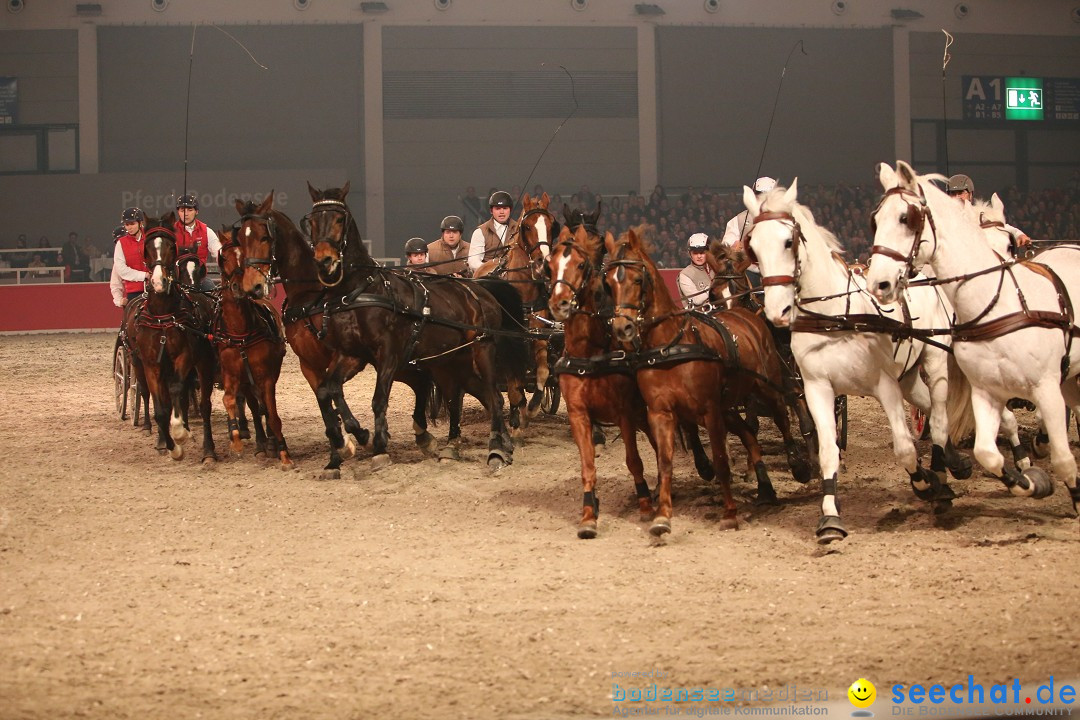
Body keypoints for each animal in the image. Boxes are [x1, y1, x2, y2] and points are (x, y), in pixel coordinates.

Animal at [124, 213, 217, 462]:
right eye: (146, 248)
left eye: (169, 246)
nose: (158, 282)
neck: (162, 316)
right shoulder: (151, 364)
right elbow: (160, 408)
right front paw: (170, 445)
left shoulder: (183, 358)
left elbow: (177, 392)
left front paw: (180, 432)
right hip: (137, 362)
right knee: (147, 394)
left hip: (203, 363)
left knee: (200, 402)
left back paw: (205, 445)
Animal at [214, 227, 293, 470]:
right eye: (223, 257)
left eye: (246, 255)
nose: (239, 287)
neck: (240, 331)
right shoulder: (231, 374)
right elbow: (229, 400)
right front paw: (236, 441)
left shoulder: (265, 376)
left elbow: (272, 414)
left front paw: (283, 453)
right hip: (246, 381)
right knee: (253, 405)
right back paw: (260, 443)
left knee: (263, 407)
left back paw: (270, 442)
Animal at [604, 225, 807, 535]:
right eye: (608, 283)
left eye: (638, 279)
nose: (622, 327)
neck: (670, 345)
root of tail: (746, 317)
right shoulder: (662, 411)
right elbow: (666, 459)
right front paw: (662, 516)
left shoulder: (710, 409)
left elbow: (722, 459)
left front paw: (730, 512)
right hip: (730, 403)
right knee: (750, 434)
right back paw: (765, 488)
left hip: (766, 384)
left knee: (784, 415)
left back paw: (799, 463)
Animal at [747, 180, 967, 546]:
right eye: (752, 247)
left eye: (789, 241)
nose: (777, 312)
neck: (835, 318)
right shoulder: (816, 389)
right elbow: (827, 451)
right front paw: (830, 519)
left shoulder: (885, 385)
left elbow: (905, 449)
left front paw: (925, 484)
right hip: (909, 376)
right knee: (931, 410)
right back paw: (957, 464)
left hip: (934, 361)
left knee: (938, 416)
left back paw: (944, 477)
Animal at [868, 160, 1080, 515]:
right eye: (876, 219)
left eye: (906, 218)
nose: (878, 283)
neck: (995, 303)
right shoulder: (981, 384)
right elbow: (989, 441)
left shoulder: (1045, 383)